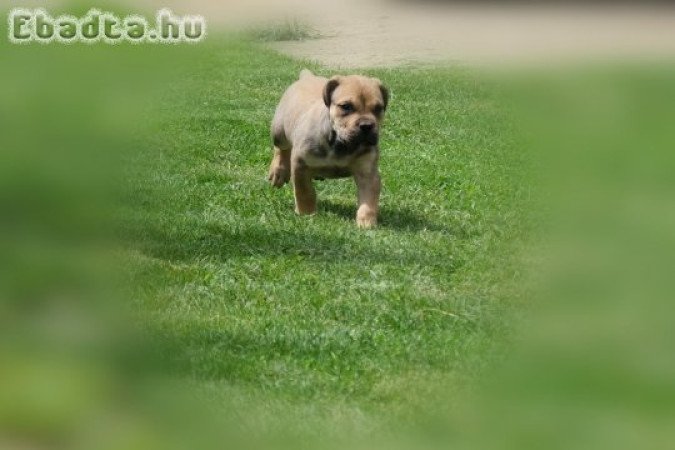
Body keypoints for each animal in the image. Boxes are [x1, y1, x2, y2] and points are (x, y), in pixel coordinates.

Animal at [266, 70, 388, 229]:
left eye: (378, 108)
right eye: (346, 106)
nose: (367, 126)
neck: (340, 144)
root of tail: (307, 76)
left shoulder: (367, 173)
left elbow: (368, 201)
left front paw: (367, 223)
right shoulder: (301, 164)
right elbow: (304, 191)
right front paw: (306, 213)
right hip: (279, 131)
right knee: (281, 149)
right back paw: (278, 171)